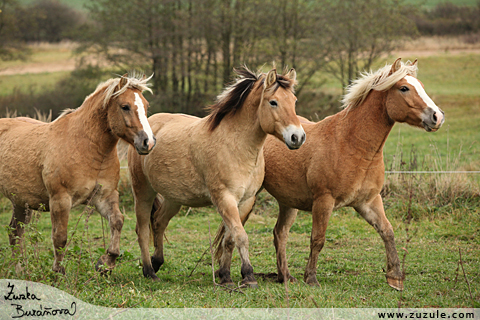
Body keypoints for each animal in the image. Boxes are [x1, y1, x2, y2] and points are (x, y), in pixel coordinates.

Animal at [0, 73, 156, 276]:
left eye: (146, 106)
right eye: (125, 106)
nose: (148, 142)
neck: (86, 147)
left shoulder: (104, 197)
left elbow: (117, 221)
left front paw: (106, 263)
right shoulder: (60, 199)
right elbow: (60, 237)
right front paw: (58, 272)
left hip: (20, 201)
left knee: (15, 232)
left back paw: (18, 270)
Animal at [216, 57, 444, 290]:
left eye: (421, 86)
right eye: (404, 88)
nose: (437, 117)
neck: (351, 144)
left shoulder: (369, 201)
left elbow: (387, 232)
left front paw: (395, 277)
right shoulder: (324, 201)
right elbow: (318, 239)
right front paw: (311, 278)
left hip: (288, 202)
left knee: (279, 234)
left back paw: (285, 276)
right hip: (246, 199)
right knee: (232, 233)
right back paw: (230, 276)